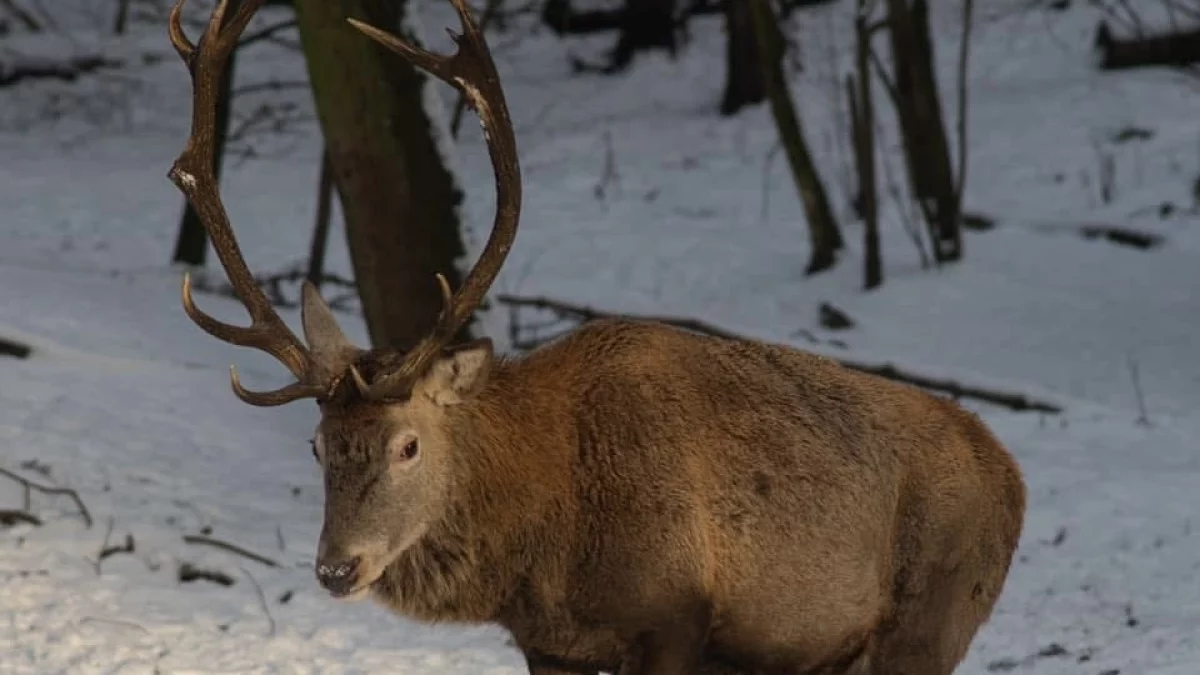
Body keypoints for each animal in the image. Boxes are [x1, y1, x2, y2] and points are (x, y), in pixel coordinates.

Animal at [166, 1, 1032, 672]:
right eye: (317, 444)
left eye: (409, 443)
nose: (338, 565)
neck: (547, 542)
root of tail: (1013, 477)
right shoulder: (552, 644)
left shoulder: (675, 617)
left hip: (932, 620)